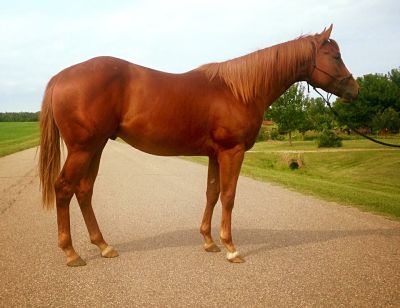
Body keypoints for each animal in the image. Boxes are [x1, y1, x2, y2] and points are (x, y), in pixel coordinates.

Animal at [38, 24, 360, 266]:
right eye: (335, 55)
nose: (355, 89)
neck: (238, 91)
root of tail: (60, 77)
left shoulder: (215, 154)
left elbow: (212, 193)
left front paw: (208, 241)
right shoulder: (232, 152)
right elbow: (228, 196)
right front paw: (231, 248)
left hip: (97, 146)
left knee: (84, 190)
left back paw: (104, 246)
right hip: (83, 148)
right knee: (64, 189)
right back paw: (71, 253)